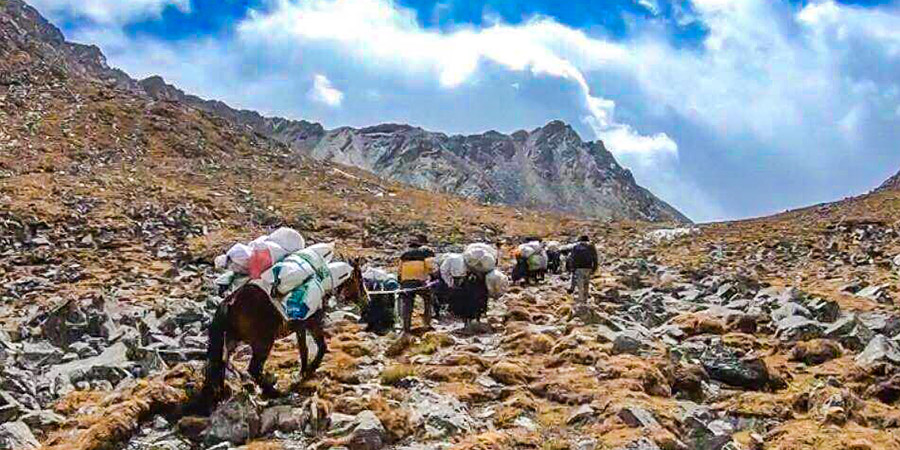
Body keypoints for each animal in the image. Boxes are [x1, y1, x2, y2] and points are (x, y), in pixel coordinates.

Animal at [202, 256, 364, 400]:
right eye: (360, 279)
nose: (365, 299)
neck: (323, 282)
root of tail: (230, 302)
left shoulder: (300, 327)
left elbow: (303, 350)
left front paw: (302, 373)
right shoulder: (313, 322)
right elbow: (322, 346)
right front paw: (311, 369)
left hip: (232, 340)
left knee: (222, 362)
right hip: (263, 342)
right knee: (253, 368)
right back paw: (272, 392)